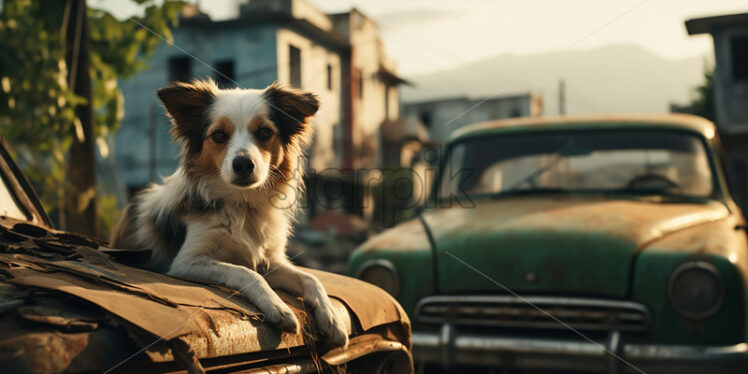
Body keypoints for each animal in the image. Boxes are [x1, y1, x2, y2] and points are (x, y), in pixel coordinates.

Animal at [110, 79, 348, 348]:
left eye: (264, 132)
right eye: (218, 136)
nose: (243, 163)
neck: (242, 205)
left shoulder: (271, 260)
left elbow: (311, 278)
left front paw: (331, 318)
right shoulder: (186, 262)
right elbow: (244, 272)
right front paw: (278, 308)